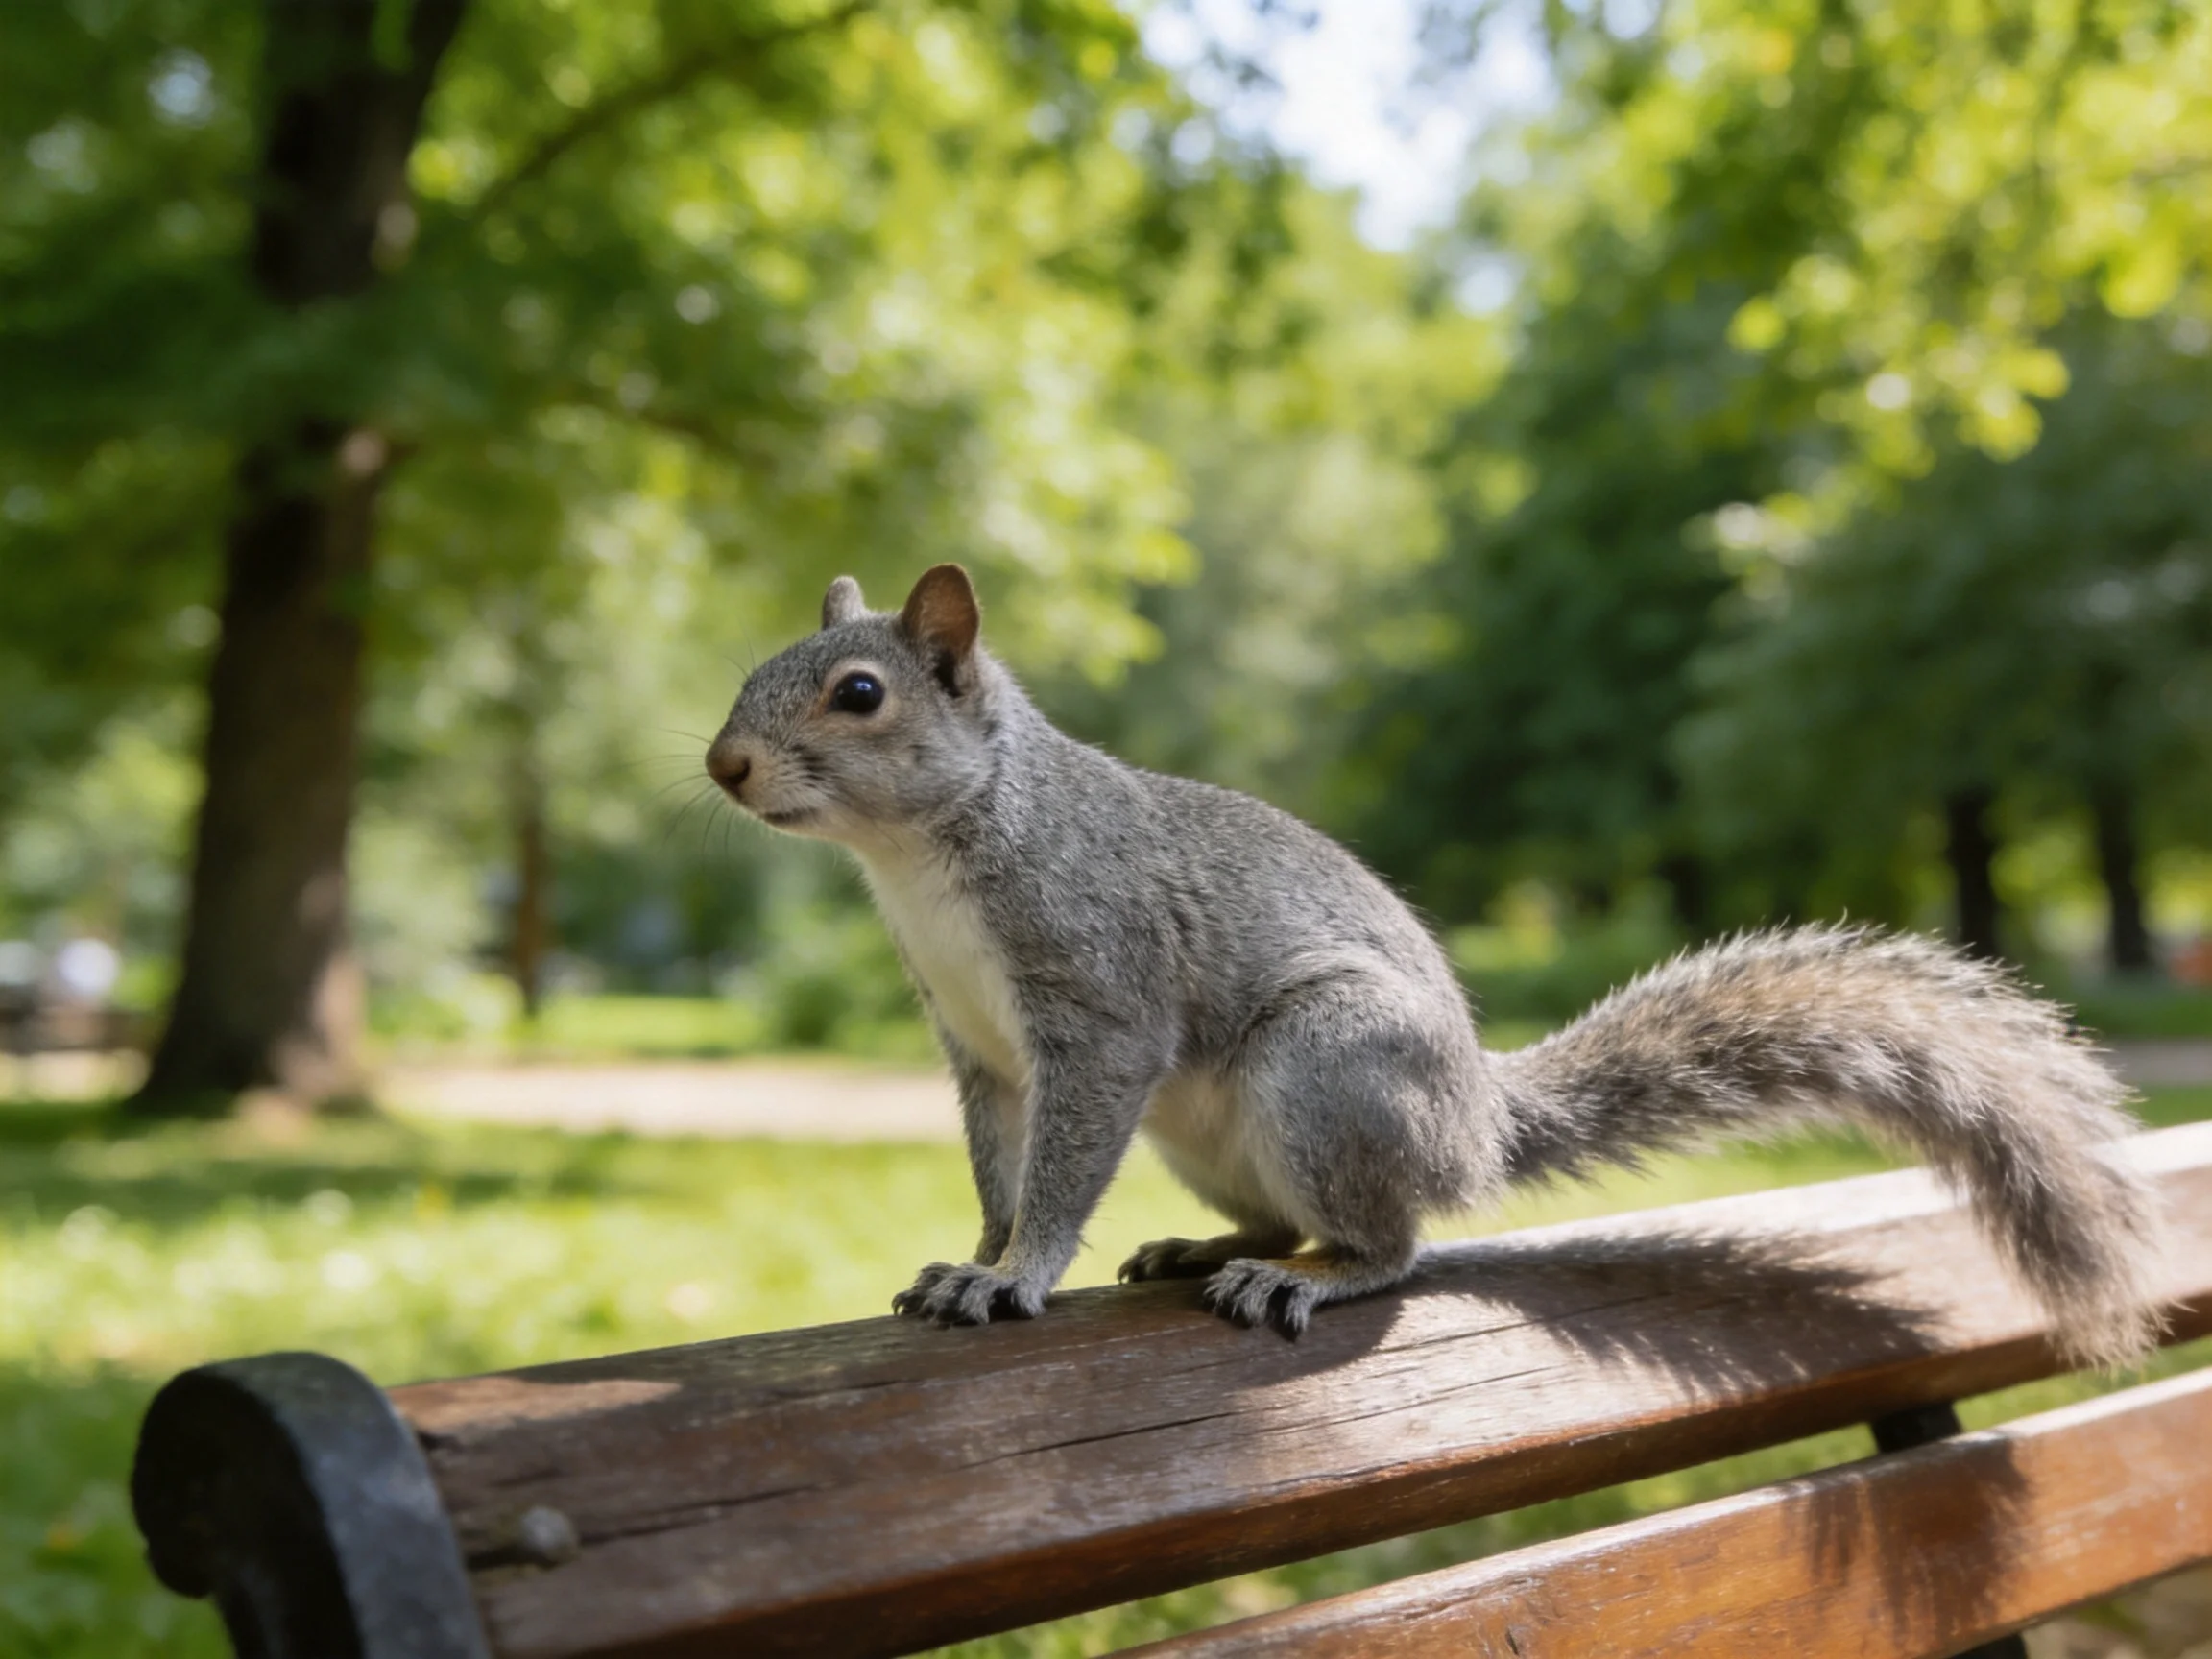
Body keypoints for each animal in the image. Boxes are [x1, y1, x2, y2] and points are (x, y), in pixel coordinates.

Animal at [705, 564, 2167, 1364]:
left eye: (857, 694)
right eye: (755, 664)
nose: (722, 765)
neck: (924, 859)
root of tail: (1474, 1123)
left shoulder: (1097, 1005)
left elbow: (1060, 1171)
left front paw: (1019, 1275)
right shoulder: (979, 1048)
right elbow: (998, 1170)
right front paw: (973, 1260)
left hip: (1328, 1071)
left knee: (1391, 1244)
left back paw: (1307, 1278)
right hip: (1215, 1126)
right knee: (1285, 1213)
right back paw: (1206, 1246)